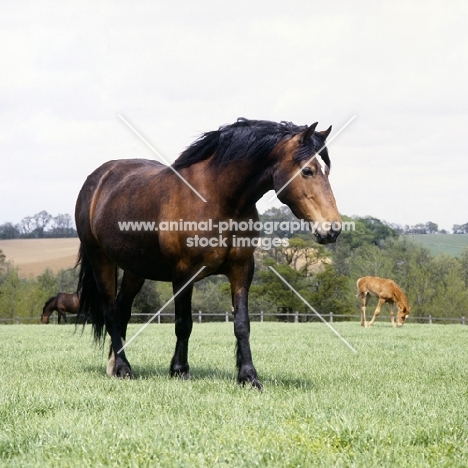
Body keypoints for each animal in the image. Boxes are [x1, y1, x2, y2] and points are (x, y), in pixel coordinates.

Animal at [75, 117, 342, 388]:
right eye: (307, 171)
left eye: (327, 170)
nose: (332, 229)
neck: (217, 199)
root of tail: (98, 178)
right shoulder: (184, 273)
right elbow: (184, 323)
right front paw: (180, 370)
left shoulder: (242, 270)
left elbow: (242, 324)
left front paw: (248, 376)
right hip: (101, 260)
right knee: (110, 311)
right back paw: (123, 368)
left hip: (135, 269)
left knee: (122, 311)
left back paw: (114, 365)